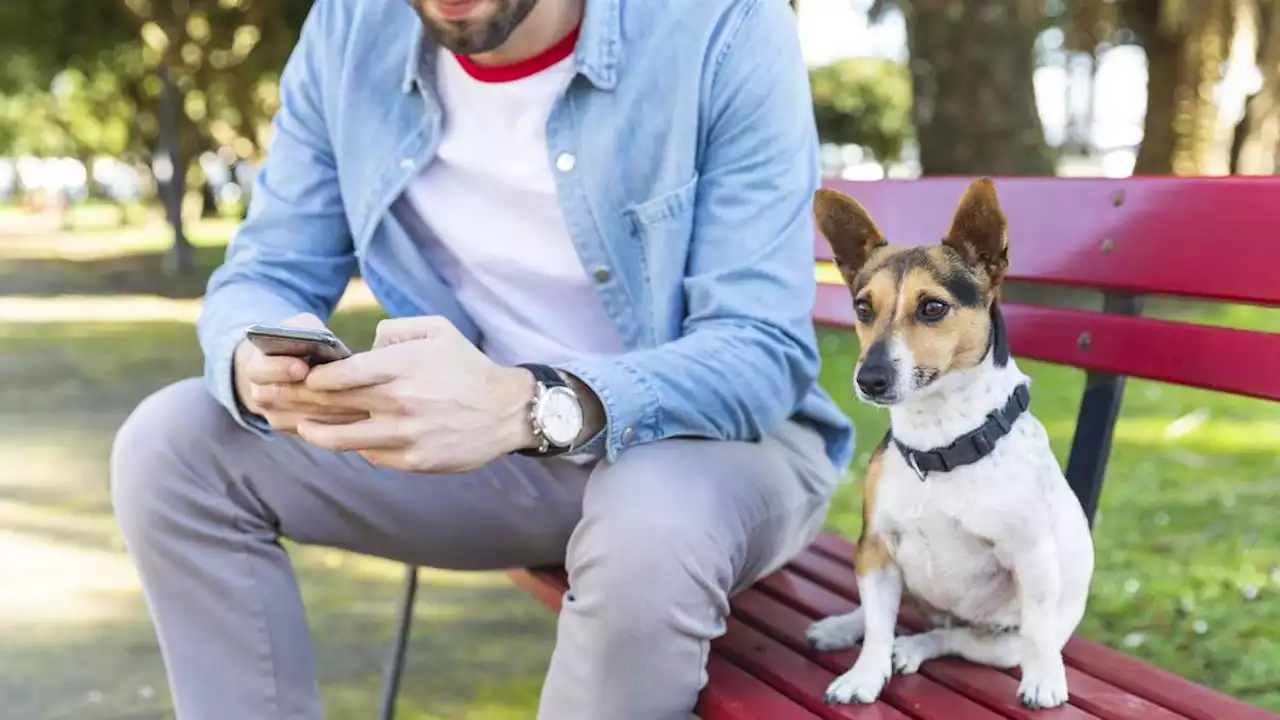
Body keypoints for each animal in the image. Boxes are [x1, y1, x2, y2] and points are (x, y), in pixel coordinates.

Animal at [803, 178, 1095, 707]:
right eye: (862, 308)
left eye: (933, 307)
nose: (869, 378)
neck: (940, 443)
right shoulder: (875, 545)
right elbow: (878, 626)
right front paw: (865, 673)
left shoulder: (1032, 558)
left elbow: (1037, 632)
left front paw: (1045, 678)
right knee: (886, 615)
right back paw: (845, 627)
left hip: (997, 643)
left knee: (953, 636)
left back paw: (915, 647)